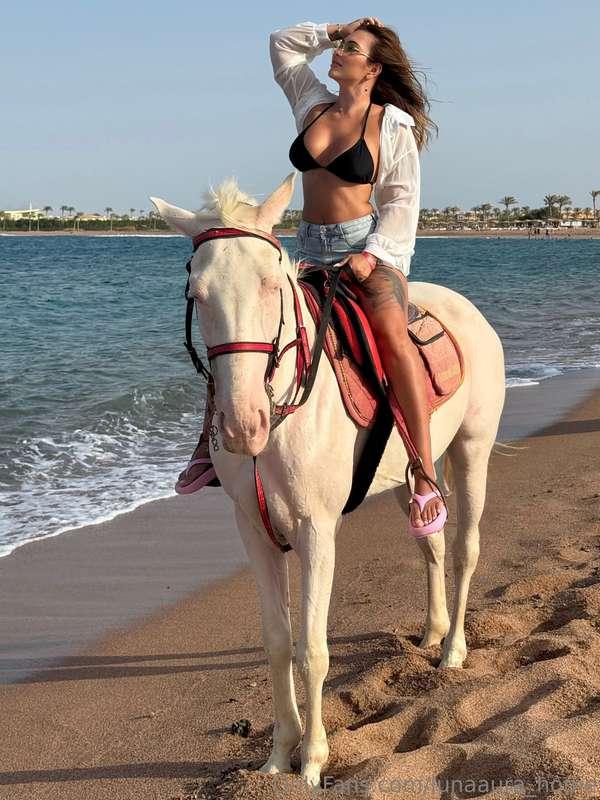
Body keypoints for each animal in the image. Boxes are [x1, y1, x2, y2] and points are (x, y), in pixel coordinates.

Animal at [150, 171, 506, 787]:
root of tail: (468, 311)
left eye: (272, 284)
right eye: (197, 294)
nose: (243, 425)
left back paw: (454, 650)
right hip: (413, 478)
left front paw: (313, 760)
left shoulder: (317, 531)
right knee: (432, 545)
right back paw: (433, 631)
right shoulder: (253, 530)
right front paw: (277, 756)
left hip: (471, 452)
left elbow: (312, 650)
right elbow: (277, 643)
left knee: (464, 549)